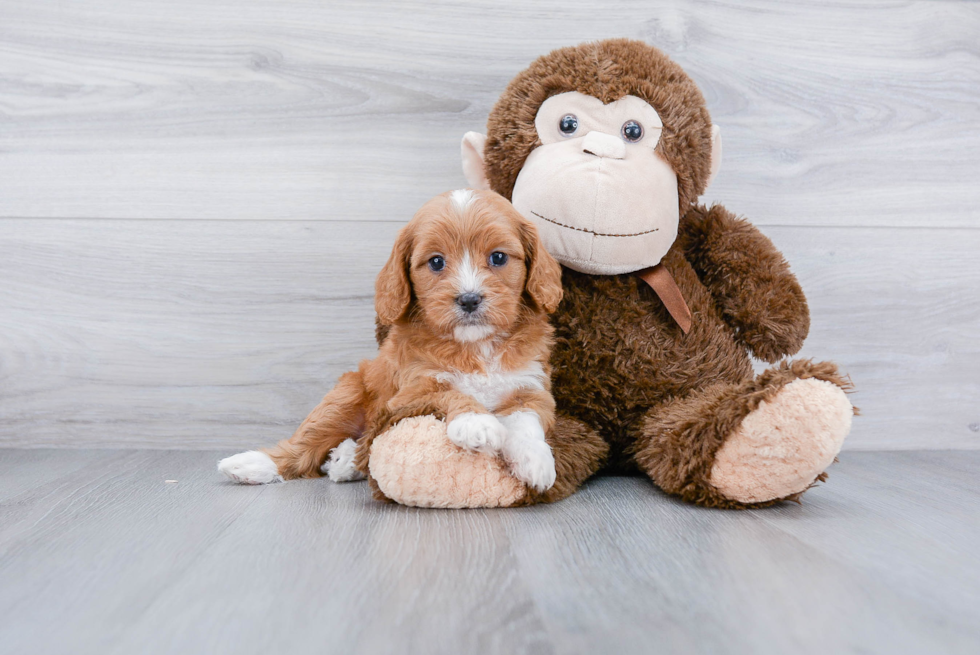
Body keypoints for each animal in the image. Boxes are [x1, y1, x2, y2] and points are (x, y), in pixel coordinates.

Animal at [217, 190, 564, 492]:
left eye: (498, 257)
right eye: (436, 262)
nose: (468, 299)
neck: (476, 346)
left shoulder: (531, 385)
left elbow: (527, 418)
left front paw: (536, 460)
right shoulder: (411, 391)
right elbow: (448, 391)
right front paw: (475, 422)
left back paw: (344, 460)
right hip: (345, 395)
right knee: (304, 444)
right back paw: (254, 465)